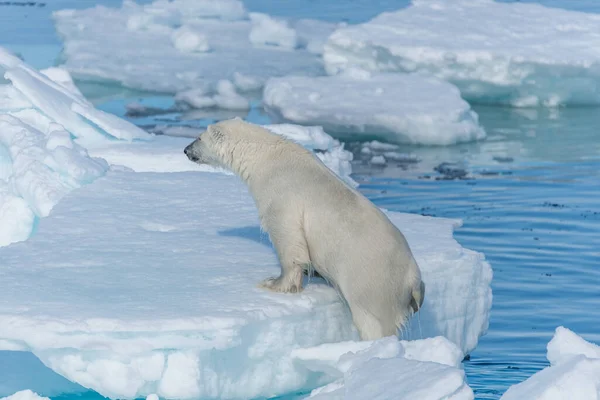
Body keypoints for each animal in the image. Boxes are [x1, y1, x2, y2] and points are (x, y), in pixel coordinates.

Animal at [185, 117, 424, 340]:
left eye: (199, 137)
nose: (186, 150)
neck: (266, 157)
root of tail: (413, 279)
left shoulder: (281, 195)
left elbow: (288, 240)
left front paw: (274, 283)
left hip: (373, 284)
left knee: (373, 321)